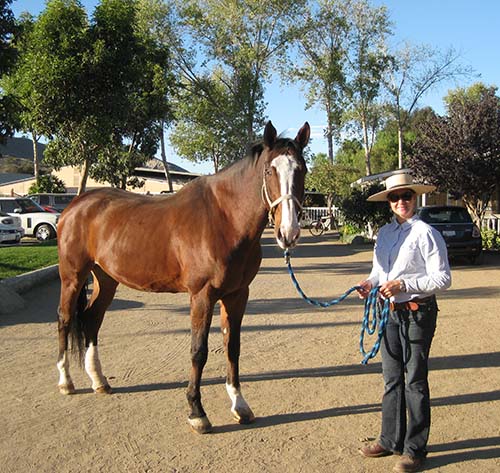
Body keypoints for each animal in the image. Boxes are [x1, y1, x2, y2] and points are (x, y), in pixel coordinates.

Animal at [57, 121, 308, 432]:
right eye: (269, 171)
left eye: (302, 169)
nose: (289, 232)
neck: (225, 219)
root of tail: (76, 204)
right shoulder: (202, 296)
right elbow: (198, 351)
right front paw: (197, 412)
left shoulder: (237, 295)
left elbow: (232, 347)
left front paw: (240, 405)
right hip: (72, 276)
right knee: (65, 319)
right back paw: (66, 382)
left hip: (106, 279)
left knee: (92, 319)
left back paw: (99, 381)